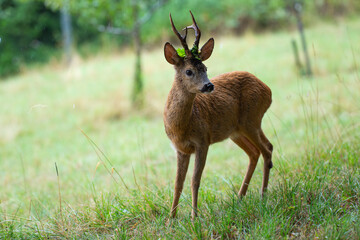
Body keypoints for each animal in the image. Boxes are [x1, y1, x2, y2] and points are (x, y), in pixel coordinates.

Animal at [164, 10, 272, 218]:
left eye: (205, 68)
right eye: (188, 71)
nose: (209, 85)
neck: (181, 126)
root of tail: (268, 90)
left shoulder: (202, 141)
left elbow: (195, 181)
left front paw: (194, 217)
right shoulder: (180, 149)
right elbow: (177, 184)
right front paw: (170, 219)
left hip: (251, 120)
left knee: (266, 150)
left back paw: (263, 196)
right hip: (236, 130)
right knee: (256, 151)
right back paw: (240, 197)